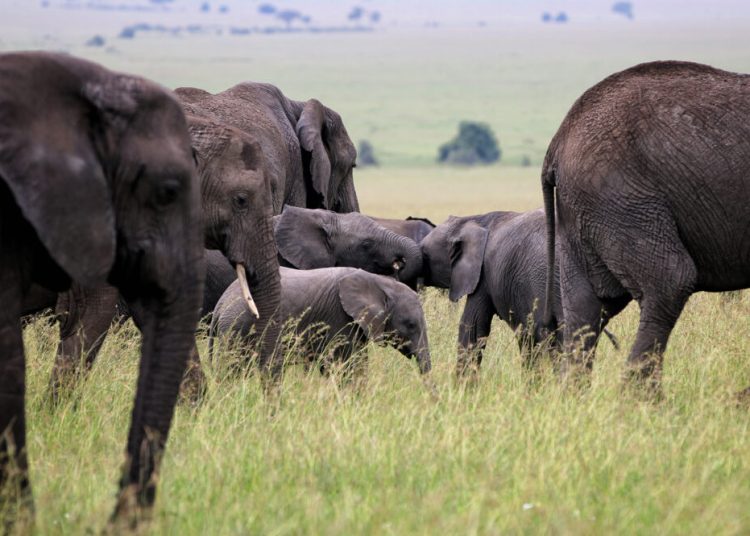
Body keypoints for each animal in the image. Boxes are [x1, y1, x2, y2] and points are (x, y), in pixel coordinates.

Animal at [210, 267, 432, 379]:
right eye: (410, 325)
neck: (380, 282)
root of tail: (220, 303)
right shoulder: (340, 318)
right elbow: (345, 366)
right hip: (238, 328)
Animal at [541, 60, 750, 393]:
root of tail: (558, 142)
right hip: (622, 198)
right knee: (671, 281)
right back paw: (644, 402)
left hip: (583, 213)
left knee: (585, 308)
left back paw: (573, 399)